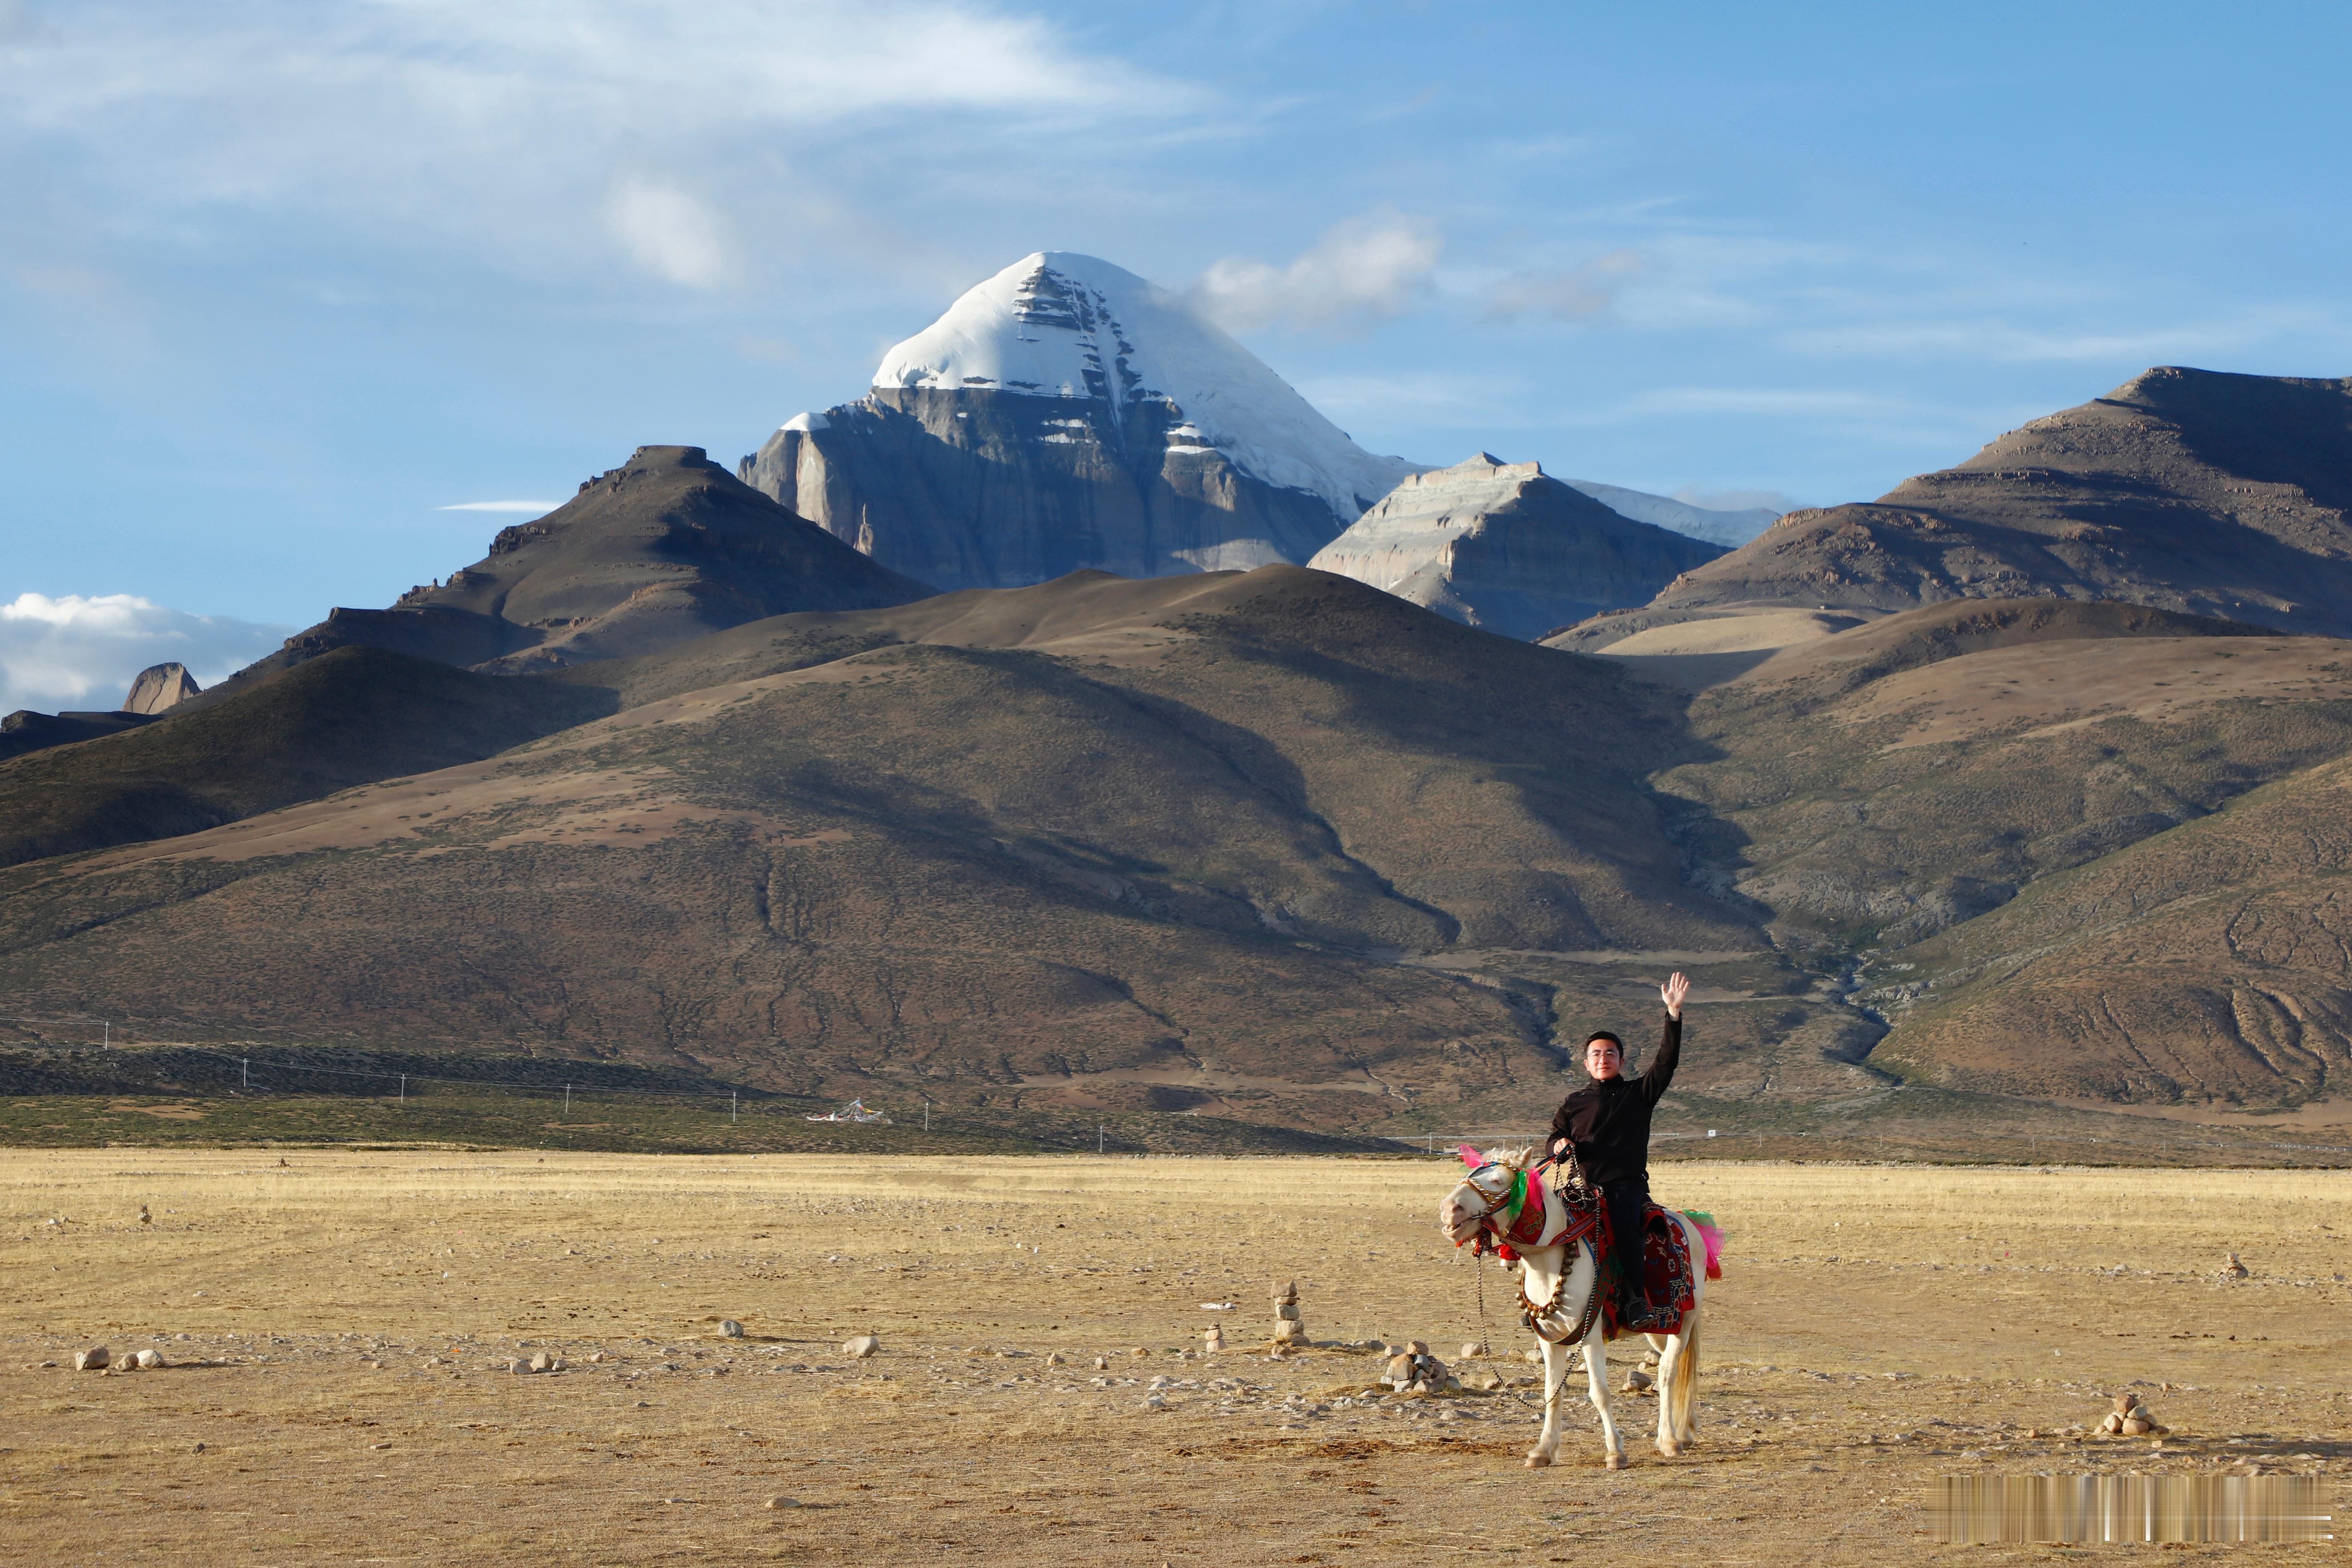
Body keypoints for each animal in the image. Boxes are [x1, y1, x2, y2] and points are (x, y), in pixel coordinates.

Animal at [1430, 1152, 1712, 1476]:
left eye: (1499, 1180)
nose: (1448, 1210)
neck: (1549, 1263)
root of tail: (1688, 1223)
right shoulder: (1549, 1340)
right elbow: (1553, 1392)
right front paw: (1543, 1451)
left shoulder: (1589, 1336)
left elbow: (1599, 1392)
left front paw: (1615, 1452)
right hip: (1659, 1330)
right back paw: (1686, 1431)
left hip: (1684, 1323)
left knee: (1668, 1373)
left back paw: (1669, 1440)